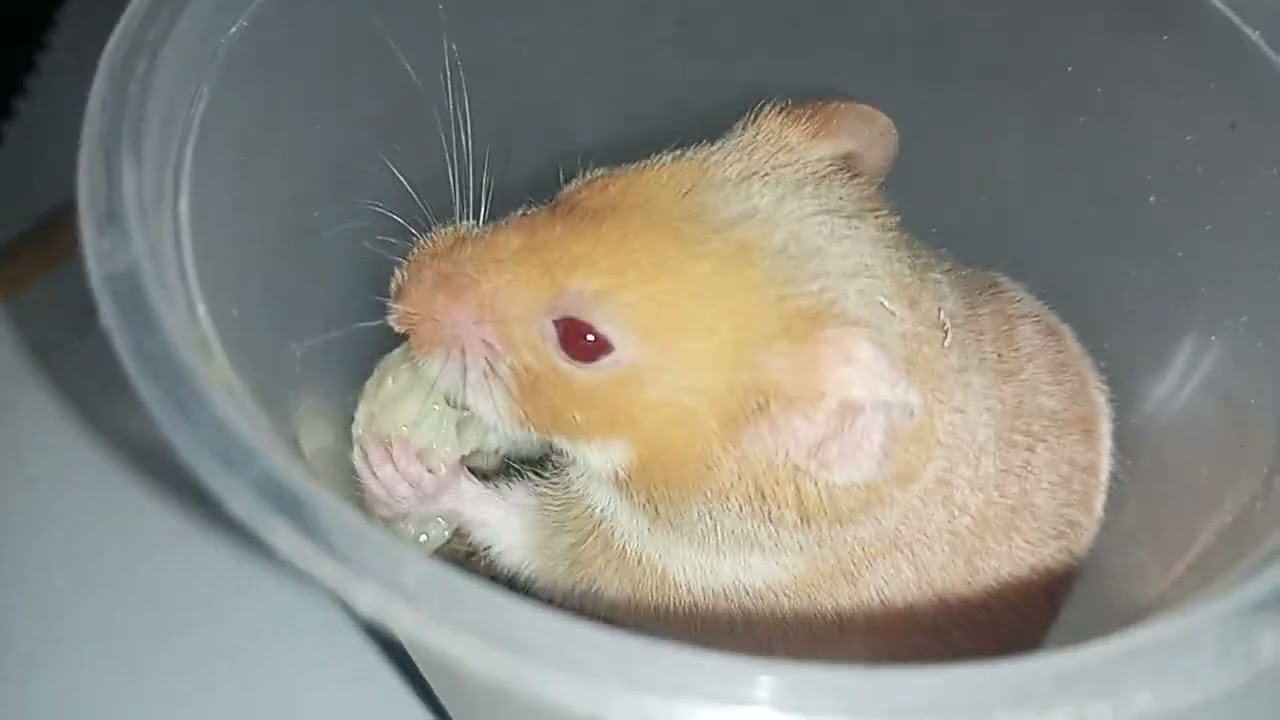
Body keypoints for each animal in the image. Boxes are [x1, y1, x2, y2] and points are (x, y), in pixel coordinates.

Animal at [352, 99, 1113, 662]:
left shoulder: (647, 565)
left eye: (582, 340)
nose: (400, 297)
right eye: (578, 186)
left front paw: (402, 470)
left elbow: (520, 529)